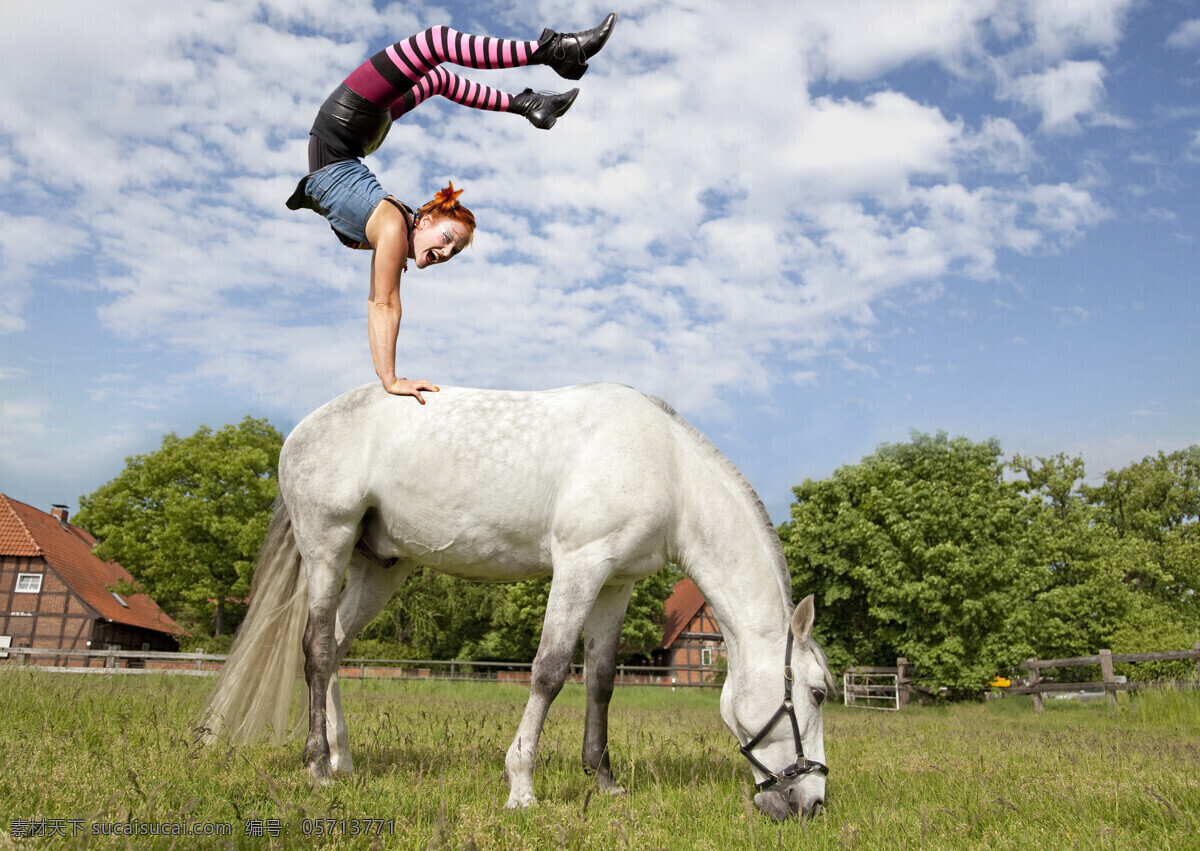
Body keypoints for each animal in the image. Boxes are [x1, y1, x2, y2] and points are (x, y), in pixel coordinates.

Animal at [198, 382, 833, 820]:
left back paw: (342, 759)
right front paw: (521, 787)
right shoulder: (579, 565)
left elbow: (600, 680)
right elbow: (549, 672)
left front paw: (604, 781)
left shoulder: (615, 582)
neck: (667, 467)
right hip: (327, 551)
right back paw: (317, 767)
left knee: (333, 650)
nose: (813, 802)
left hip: (378, 569)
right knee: (314, 650)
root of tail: (302, 429)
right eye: (819, 692)